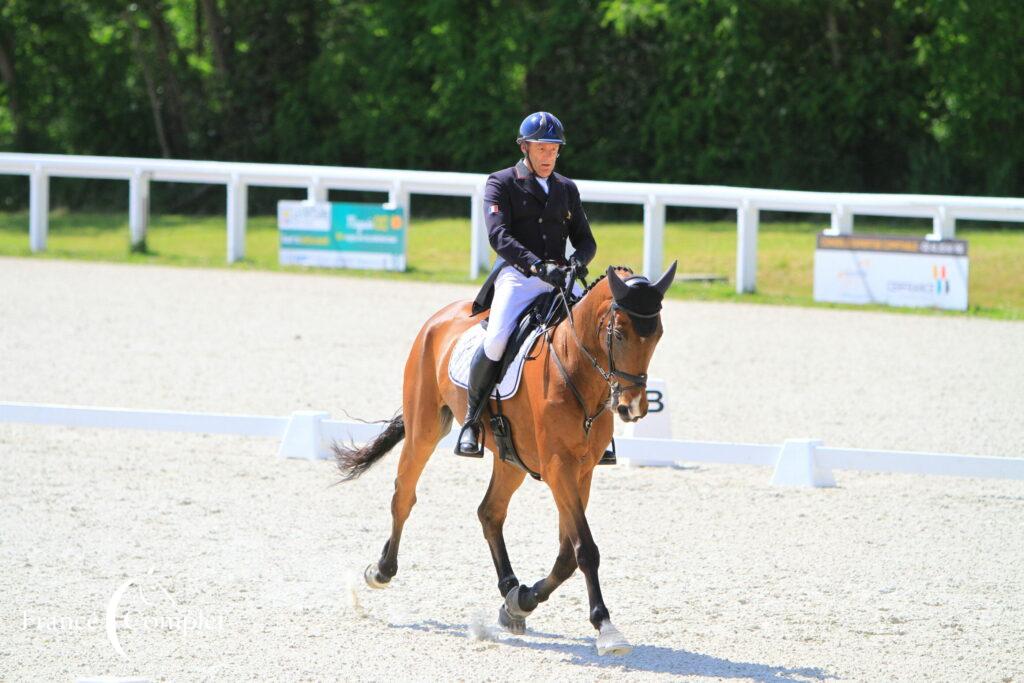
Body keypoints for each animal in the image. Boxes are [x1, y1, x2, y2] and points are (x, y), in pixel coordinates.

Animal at [331, 262, 675, 655]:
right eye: (618, 334)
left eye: (658, 334)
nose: (633, 407)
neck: (574, 367)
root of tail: (440, 317)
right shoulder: (559, 469)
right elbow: (585, 549)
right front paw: (605, 626)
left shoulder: (582, 471)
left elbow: (567, 554)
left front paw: (521, 601)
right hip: (424, 429)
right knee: (404, 494)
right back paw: (381, 570)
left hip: (511, 460)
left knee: (490, 512)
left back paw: (510, 589)